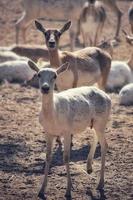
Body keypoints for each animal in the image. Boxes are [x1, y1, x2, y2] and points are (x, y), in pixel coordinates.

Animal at [27, 60, 111, 200]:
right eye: (38, 74)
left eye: (55, 75)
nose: (45, 88)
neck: (53, 116)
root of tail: (108, 97)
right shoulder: (47, 132)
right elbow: (48, 157)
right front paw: (41, 190)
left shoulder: (66, 131)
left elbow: (66, 157)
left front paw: (68, 191)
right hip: (94, 122)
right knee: (96, 136)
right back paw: (89, 167)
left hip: (102, 120)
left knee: (105, 144)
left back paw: (100, 184)